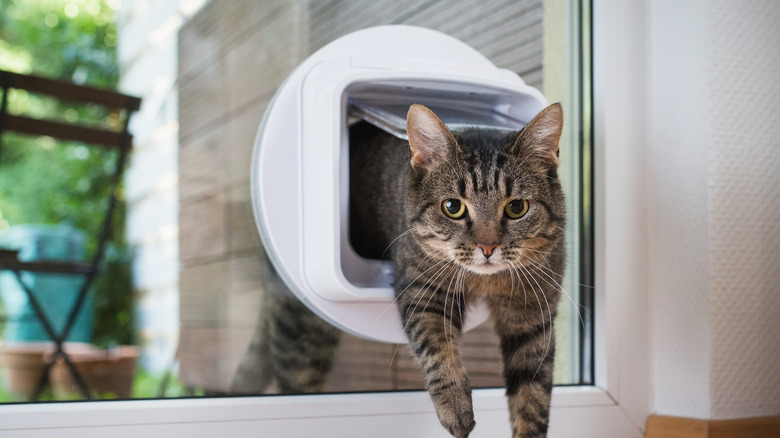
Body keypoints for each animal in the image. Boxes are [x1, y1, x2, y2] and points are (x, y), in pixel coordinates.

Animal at [350, 103, 564, 438]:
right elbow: (436, 346)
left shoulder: (532, 319)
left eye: (517, 207)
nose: (487, 247)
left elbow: (533, 397)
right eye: (453, 207)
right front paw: (455, 406)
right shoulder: (423, 289)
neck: (486, 283)